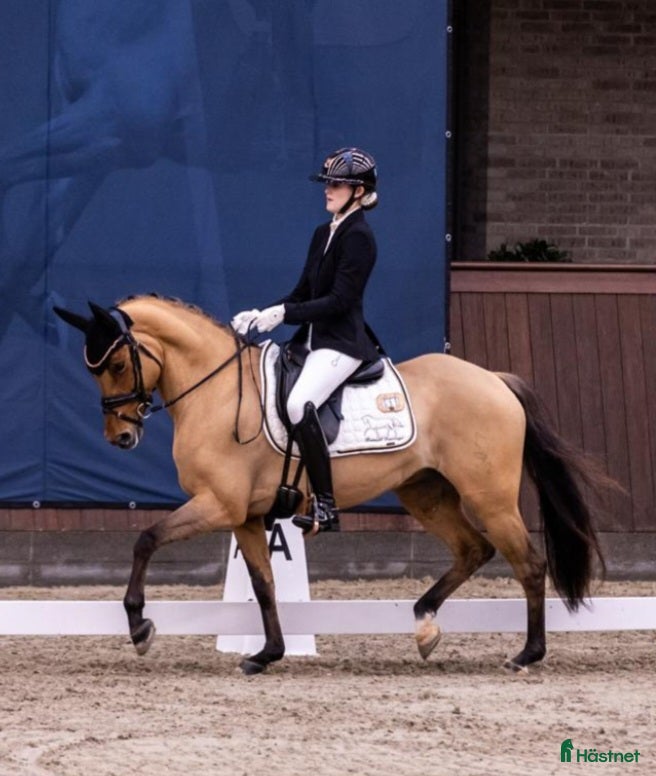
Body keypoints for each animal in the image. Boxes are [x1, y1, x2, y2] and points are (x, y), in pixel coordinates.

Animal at [53, 294, 609, 675]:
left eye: (118, 364)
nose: (122, 437)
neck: (217, 392)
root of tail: (494, 380)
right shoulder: (246, 515)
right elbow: (263, 584)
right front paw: (266, 653)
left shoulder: (218, 504)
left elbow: (146, 539)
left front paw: (140, 628)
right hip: (425, 492)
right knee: (474, 550)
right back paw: (424, 624)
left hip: (488, 496)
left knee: (528, 563)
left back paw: (527, 654)